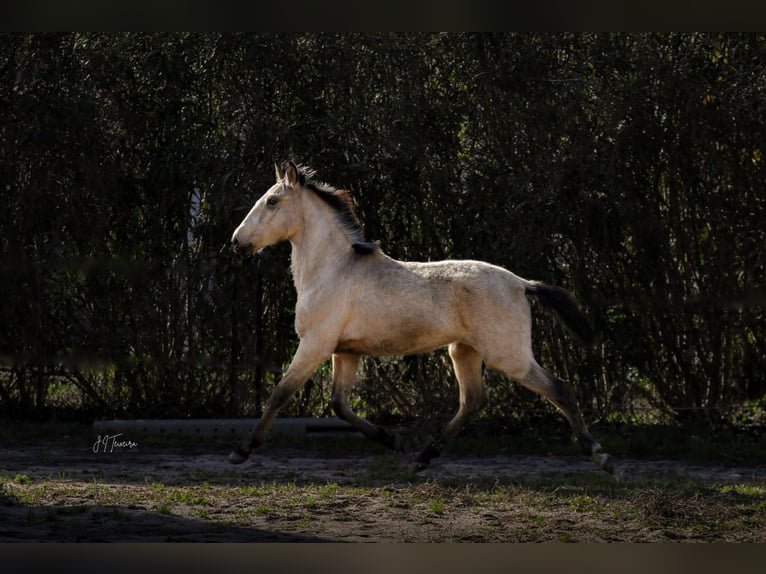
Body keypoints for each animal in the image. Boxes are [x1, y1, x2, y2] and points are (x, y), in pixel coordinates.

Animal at [230, 160, 616, 474]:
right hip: (463, 352)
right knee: (472, 402)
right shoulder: (346, 352)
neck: (334, 270)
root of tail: (522, 284)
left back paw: (599, 455)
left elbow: (280, 393)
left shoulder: (316, 345)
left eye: (273, 201)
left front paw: (242, 450)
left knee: (560, 389)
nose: (237, 242)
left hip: (509, 356)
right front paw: (393, 440)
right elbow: (339, 405)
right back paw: (423, 457)